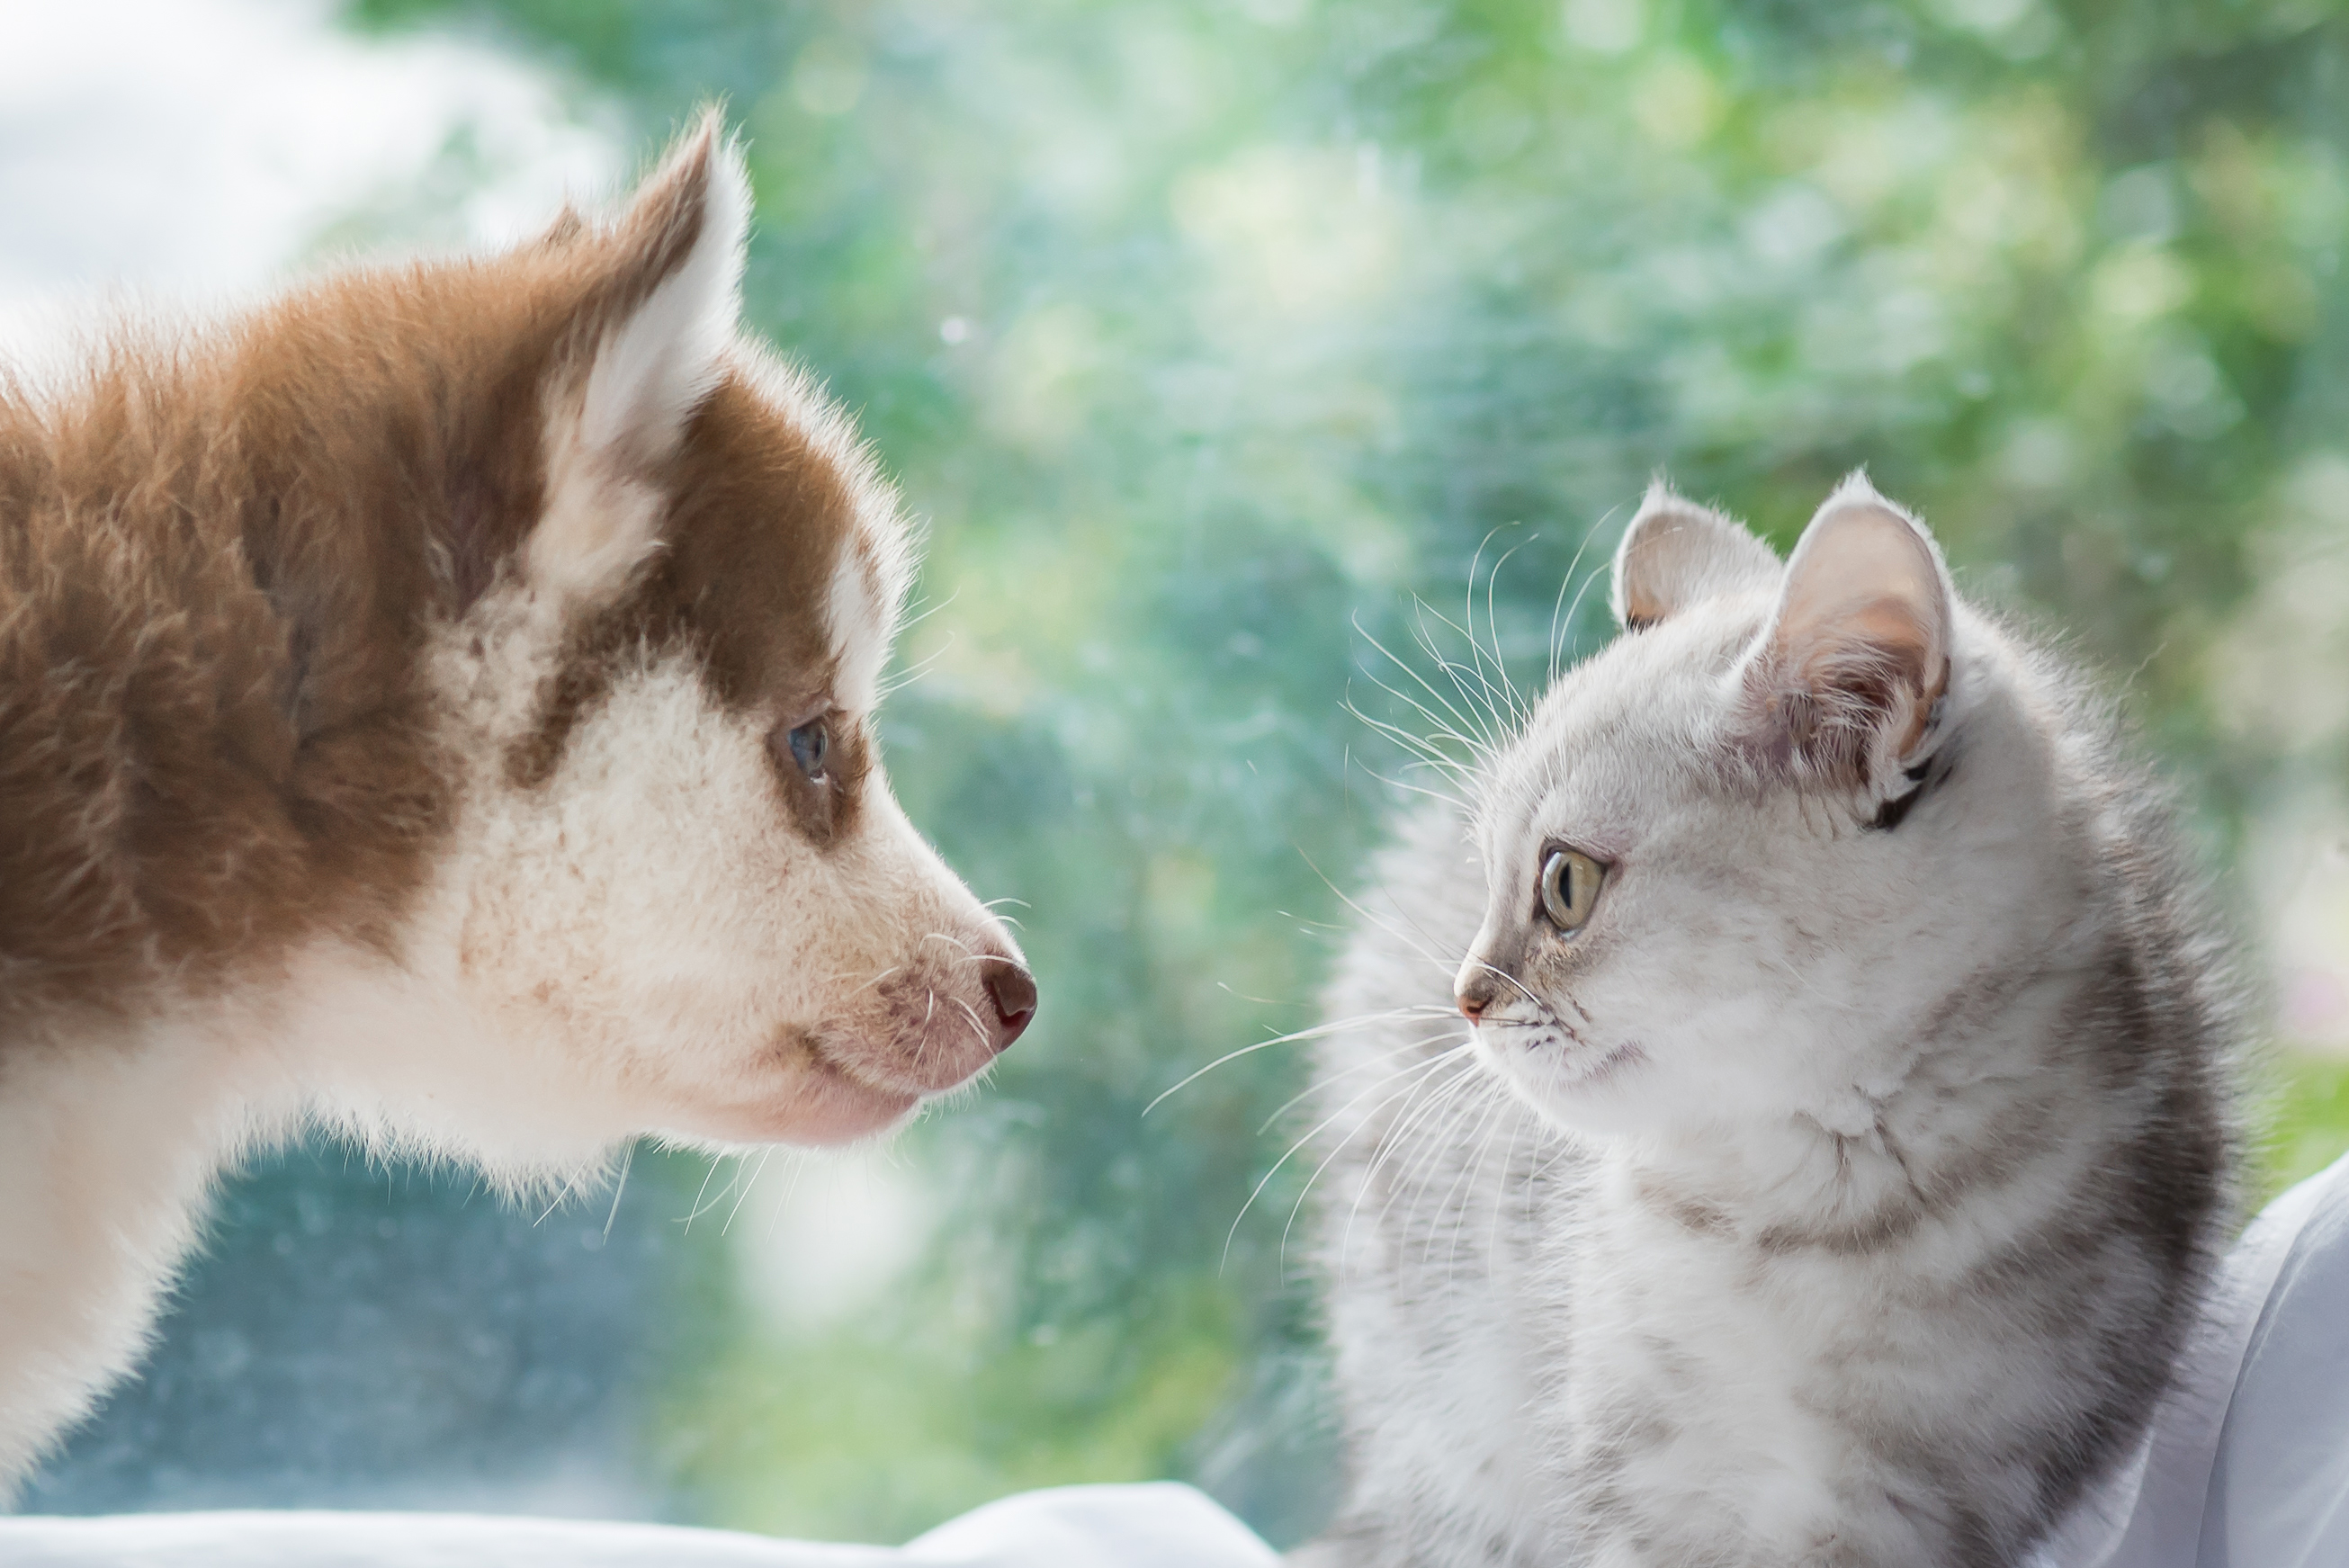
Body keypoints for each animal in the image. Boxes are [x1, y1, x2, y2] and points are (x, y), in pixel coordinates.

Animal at [1305, 480, 2236, 1568]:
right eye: (1486, 868)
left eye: (1564, 883)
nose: (1463, 994)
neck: (1809, 1219)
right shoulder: (1638, 1481)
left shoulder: (1922, 1503)